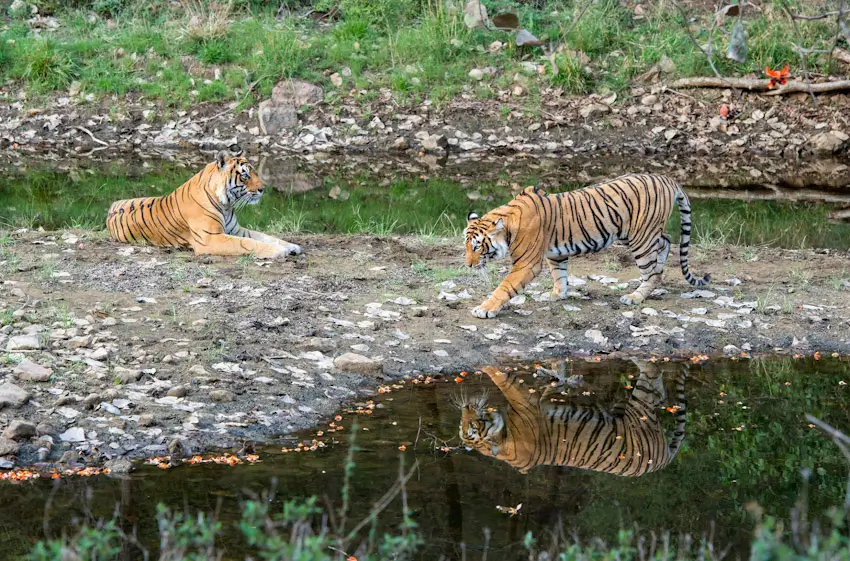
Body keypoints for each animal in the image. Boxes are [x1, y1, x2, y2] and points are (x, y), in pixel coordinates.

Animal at [106, 148, 301, 259]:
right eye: (245, 175)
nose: (263, 189)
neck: (227, 205)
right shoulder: (210, 239)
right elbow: (248, 243)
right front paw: (278, 251)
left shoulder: (236, 230)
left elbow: (265, 236)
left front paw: (291, 246)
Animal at [456, 361, 687, 477]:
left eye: (470, 424)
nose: (465, 406)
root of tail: (662, 461)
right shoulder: (528, 402)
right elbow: (504, 378)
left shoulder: (530, 402)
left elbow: (505, 379)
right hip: (638, 405)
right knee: (655, 381)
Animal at [464, 173, 710, 318]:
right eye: (466, 246)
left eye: (477, 247)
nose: (468, 265)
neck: (508, 223)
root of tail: (666, 178)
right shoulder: (555, 253)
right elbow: (559, 275)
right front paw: (557, 294)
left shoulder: (527, 264)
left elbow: (504, 287)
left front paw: (484, 309)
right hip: (635, 233)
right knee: (665, 241)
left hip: (640, 237)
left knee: (652, 272)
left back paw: (635, 296)